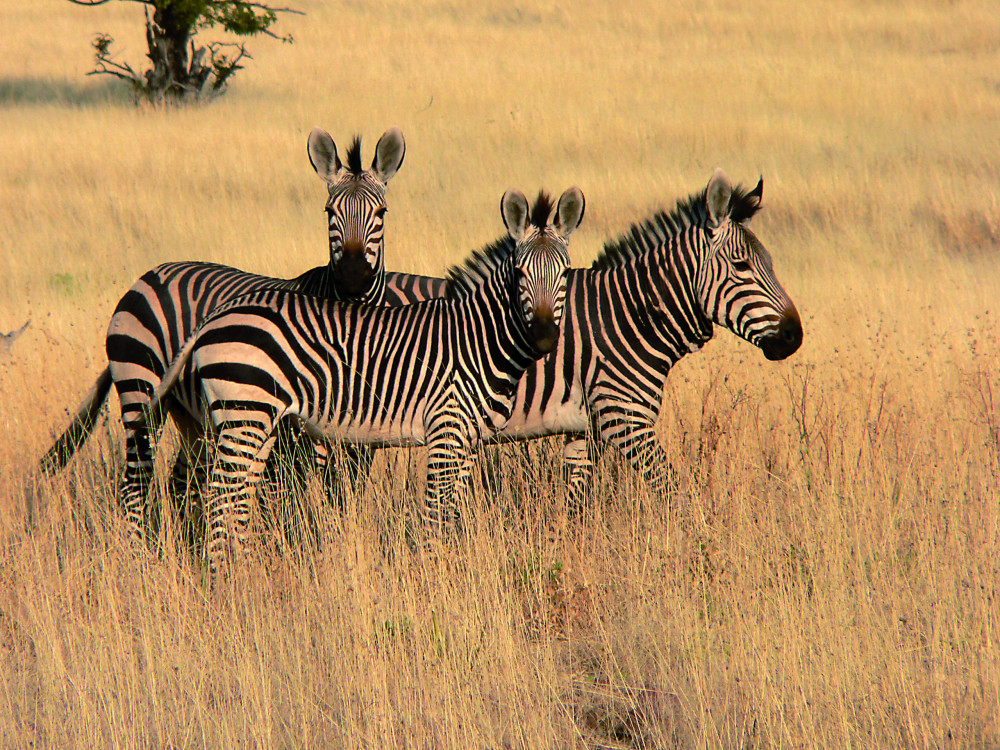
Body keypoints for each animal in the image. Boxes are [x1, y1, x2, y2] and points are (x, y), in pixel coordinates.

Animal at [39, 127, 406, 506]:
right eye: (329, 211)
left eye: (382, 212)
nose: (353, 277)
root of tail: (151, 274)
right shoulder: (299, 432)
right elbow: (293, 504)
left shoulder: (360, 438)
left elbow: (344, 500)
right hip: (140, 387)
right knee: (136, 483)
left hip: (190, 413)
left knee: (180, 483)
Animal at [140, 188, 584, 573]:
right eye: (521, 273)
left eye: (564, 274)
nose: (545, 336)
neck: (477, 339)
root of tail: (215, 317)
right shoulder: (445, 430)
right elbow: (436, 514)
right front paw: (432, 577)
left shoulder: (470, 439)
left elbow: (454, 513)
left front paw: (451, 569)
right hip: (244, 412)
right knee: (219, 497)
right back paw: (223, 583)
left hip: (253, 420)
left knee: (236, 497)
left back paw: (245, 574)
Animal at [372, 169, 801, 507]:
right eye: (741, 266)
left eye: (772, 263)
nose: (794, 336)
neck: (627, 317)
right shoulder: (624, 417)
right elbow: (671, 489)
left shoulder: (583, 429)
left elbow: (576, 499)